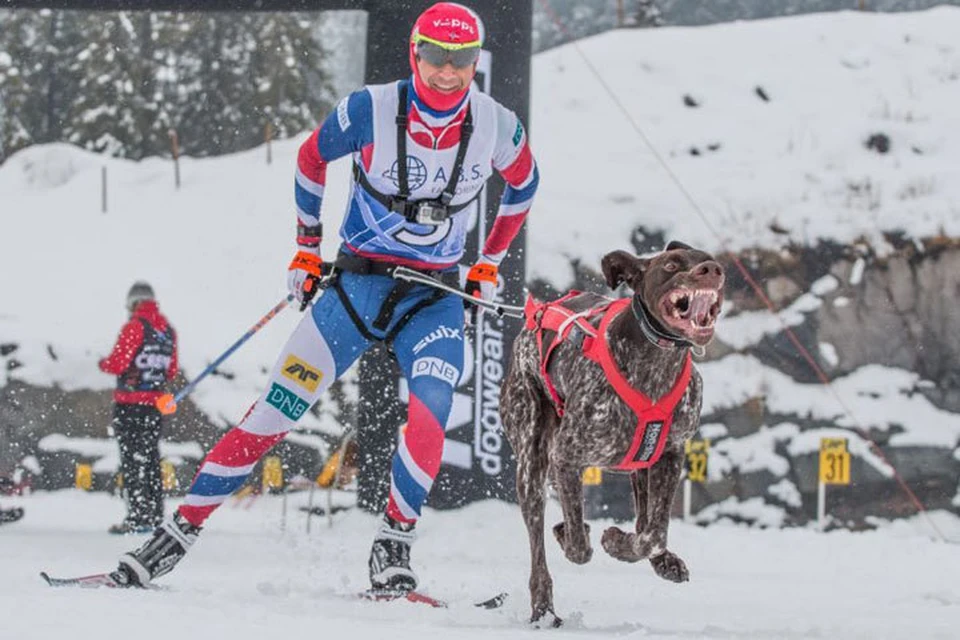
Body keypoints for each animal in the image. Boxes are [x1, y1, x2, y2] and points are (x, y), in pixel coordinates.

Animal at [502, 241, 720, 624]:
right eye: (671, 264)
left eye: (709, 259)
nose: (712, 270)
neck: (655, 364)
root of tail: (537, 314)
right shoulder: (567, 455)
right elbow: (578, 545)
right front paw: (582, 536)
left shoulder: (670, 454)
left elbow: (653, 532)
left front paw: (622, 544)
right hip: (531, 464)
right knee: (539, 546)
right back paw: (543, 607)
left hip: (638, 465)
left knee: (646, 518)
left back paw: (662, 561)